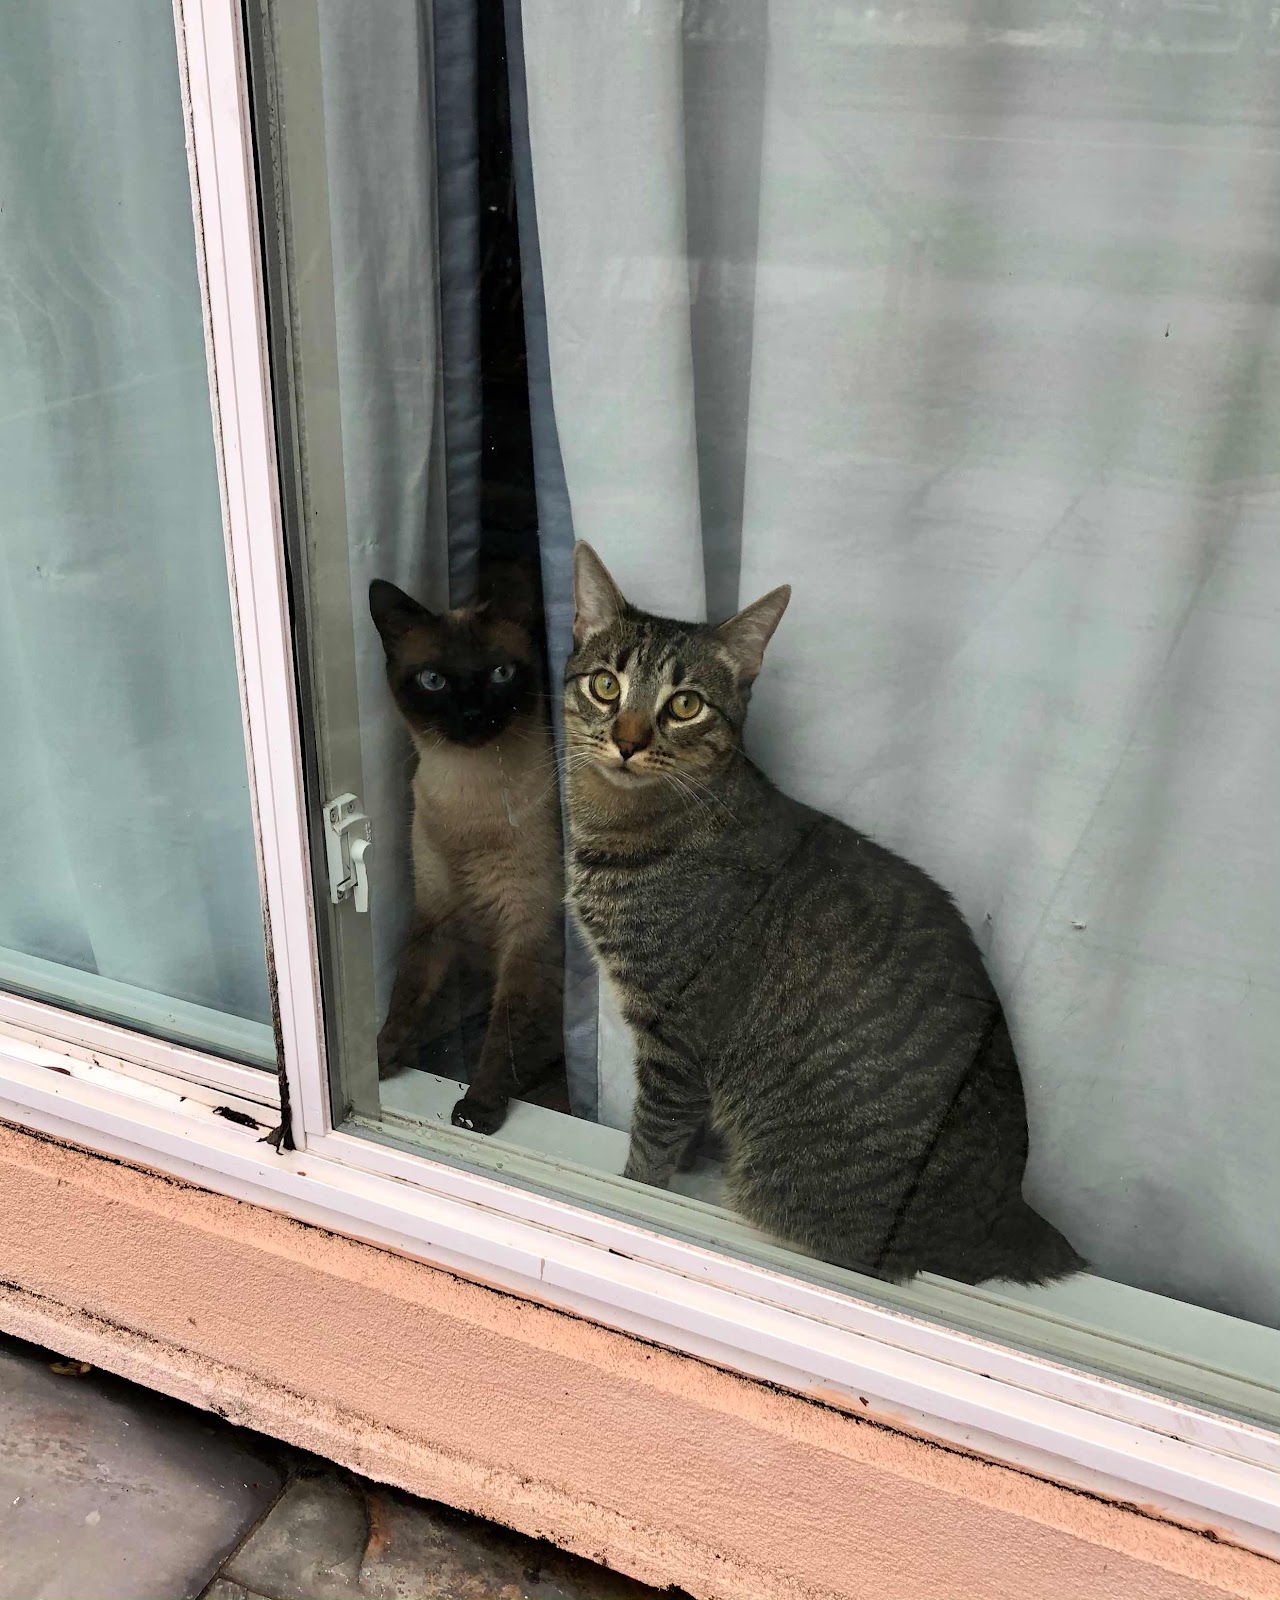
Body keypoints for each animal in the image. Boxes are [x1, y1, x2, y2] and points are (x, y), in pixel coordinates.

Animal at [369, 557, 567, 1134]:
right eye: (433, 681)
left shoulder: (529, 935)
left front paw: (477, 1110)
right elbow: (407, 995)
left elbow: (504, 1037)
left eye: (501, 673)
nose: (473, 715)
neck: (469, 808)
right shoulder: (434, 916)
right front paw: (381, 1058)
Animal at [563, 542, 1084, 1287]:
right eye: (607, 686)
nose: (628, 740)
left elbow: (652, 1144)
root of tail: (1003, 1215)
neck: (622, 829)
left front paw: (636, 1193)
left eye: (685, 704)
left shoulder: (677, 1036)